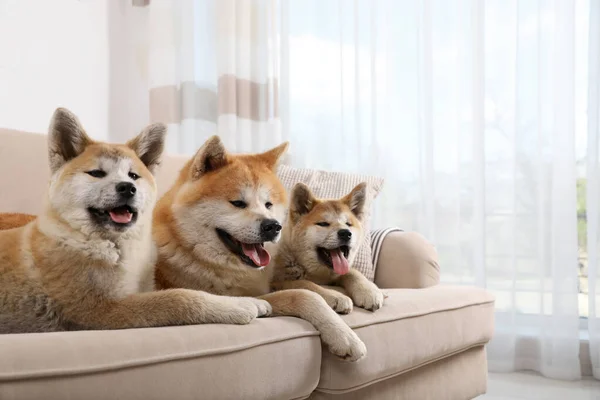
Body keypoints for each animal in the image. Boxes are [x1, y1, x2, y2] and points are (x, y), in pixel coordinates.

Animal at [0, 108, 270, 332]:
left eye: (133, 176)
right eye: (96, 173)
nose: (127, 188)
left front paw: (246, 300)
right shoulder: (99, 311)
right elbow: (180, 297)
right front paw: (240, 306)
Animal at [272, 182, 384, 316]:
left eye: (348, 224)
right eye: (323, 224)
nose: (346, 233)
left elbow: (353, 273)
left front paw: (368, 291)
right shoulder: (276, 281)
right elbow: (305, 283)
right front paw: (335, 296)